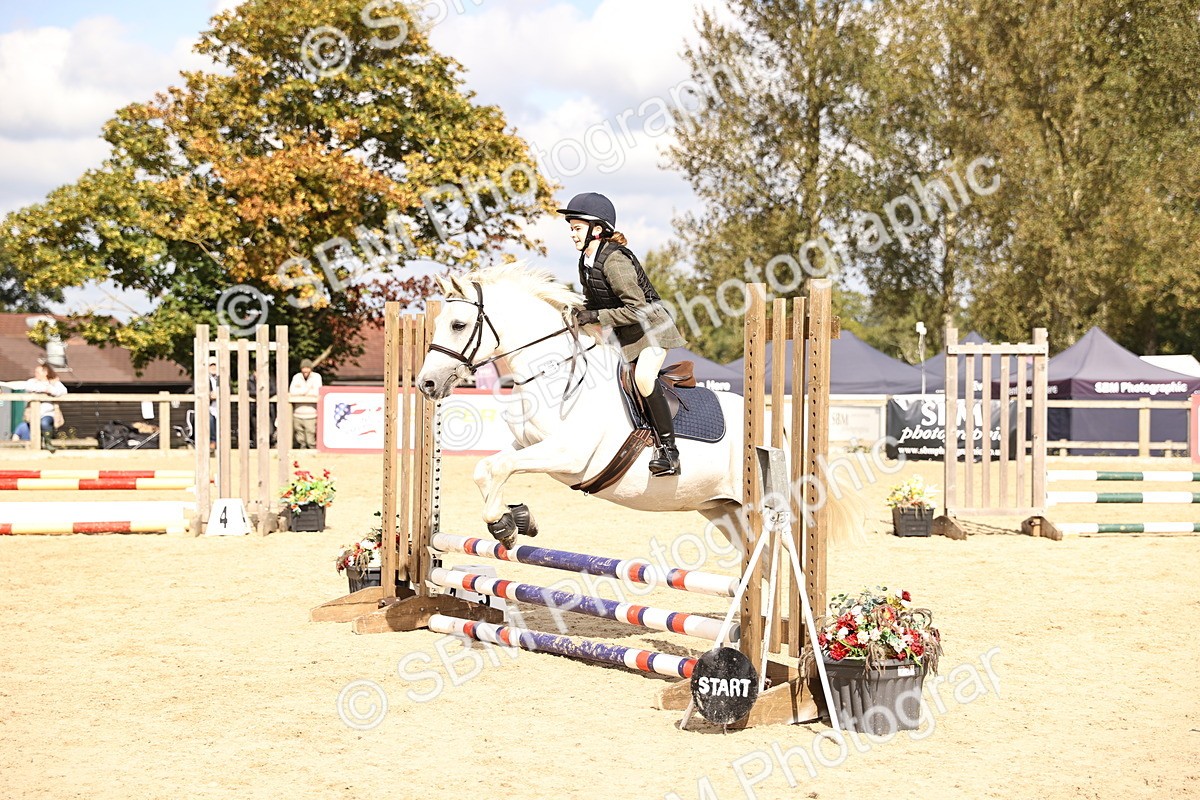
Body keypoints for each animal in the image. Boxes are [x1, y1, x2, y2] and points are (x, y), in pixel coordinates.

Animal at [415, 264, 859, 555]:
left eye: (457, 325)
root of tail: (777, 428)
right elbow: (487, 467)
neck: (553, 372)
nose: (426, 384)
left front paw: (505, 526)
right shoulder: (528, 444)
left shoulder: (567, 455)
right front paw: (518, 518)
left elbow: (499, 467)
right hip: (723, 510)